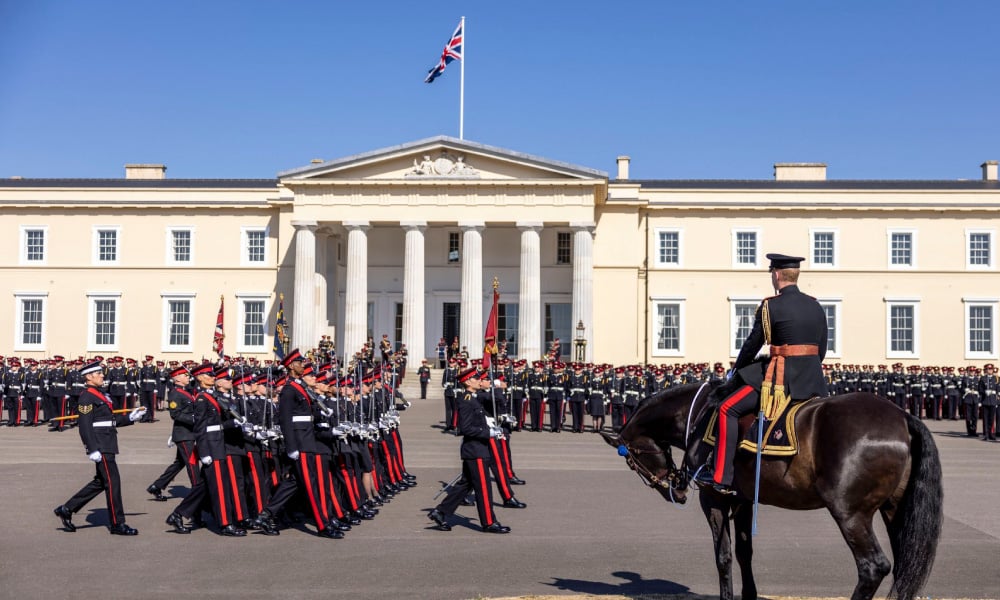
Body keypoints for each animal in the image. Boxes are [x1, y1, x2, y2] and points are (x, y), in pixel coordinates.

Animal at [604, 384, 940, 600]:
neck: (698, 414)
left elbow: (723, 556)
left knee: (873, 567)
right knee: (903, 567)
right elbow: (744, 552)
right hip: (894, 510)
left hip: (850, 514)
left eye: (631, 460)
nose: (674, 487)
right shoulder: (741, 500)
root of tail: (902, 416)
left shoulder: (713, 498)